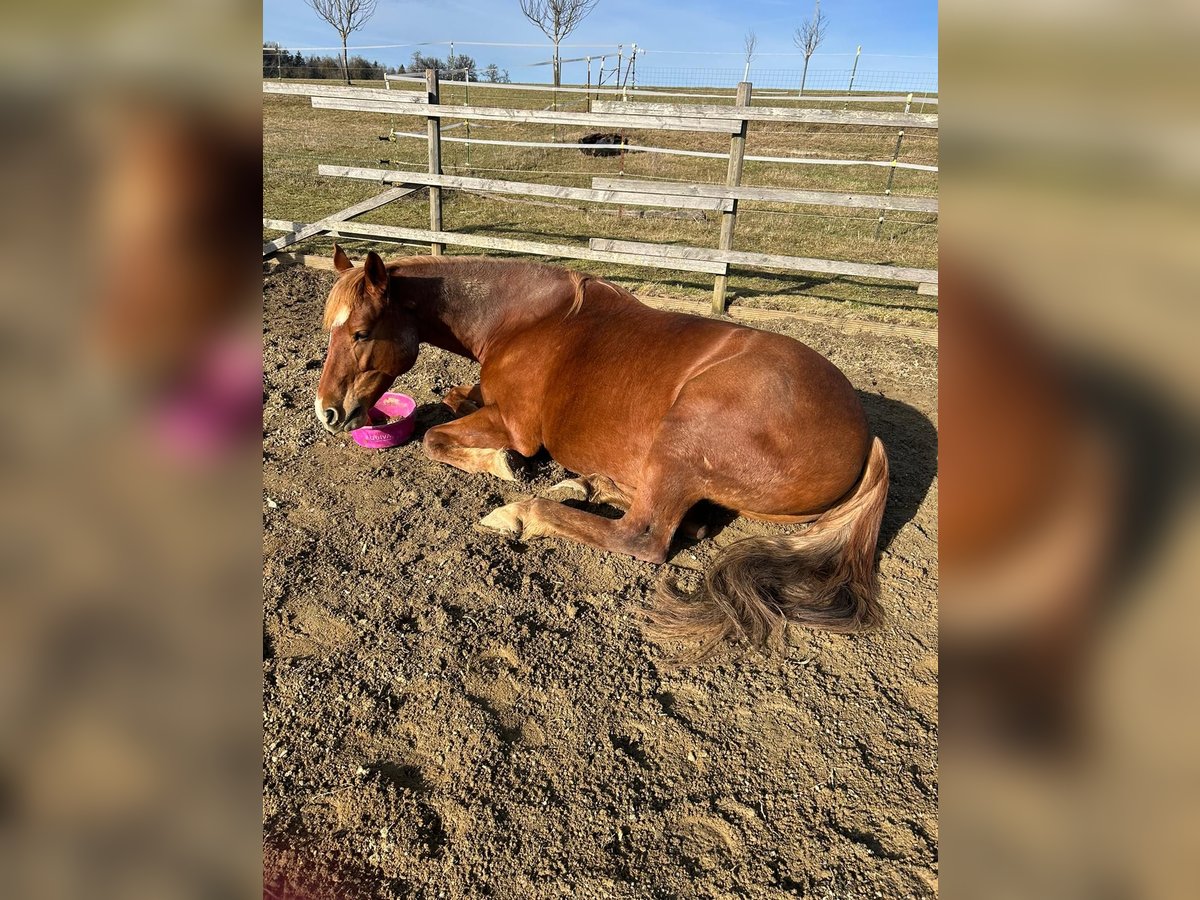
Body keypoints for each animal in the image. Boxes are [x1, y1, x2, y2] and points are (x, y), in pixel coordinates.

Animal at [314, 247, 888, 657]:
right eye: (328, 329)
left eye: (361, 332)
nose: (328, 413)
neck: (521, 320)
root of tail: (866, 438)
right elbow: (455, 398)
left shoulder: (514, 425)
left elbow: (437, 438)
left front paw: (506, 466)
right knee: (687, 519)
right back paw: (585, 483)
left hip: (682, 439)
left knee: (643, 534)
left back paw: (525, 512)